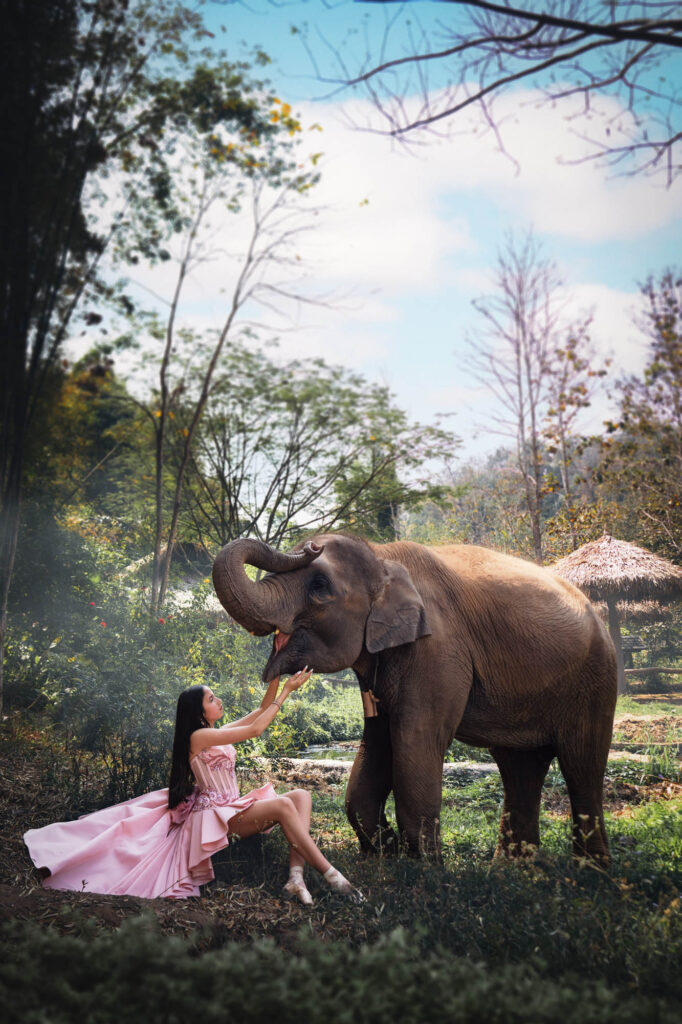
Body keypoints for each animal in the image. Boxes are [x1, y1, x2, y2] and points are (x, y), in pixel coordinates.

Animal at [212, 534, 618, 862]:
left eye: (320, 584)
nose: (311, 545)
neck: (383, 556)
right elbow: (375, 746)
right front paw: (386, 853)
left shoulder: (437, 650)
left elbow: (414, 742)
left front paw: (424, 866)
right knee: (520, 766)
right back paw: (513, 871)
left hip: (595, 681)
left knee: (581, 765)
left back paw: (590, 874)